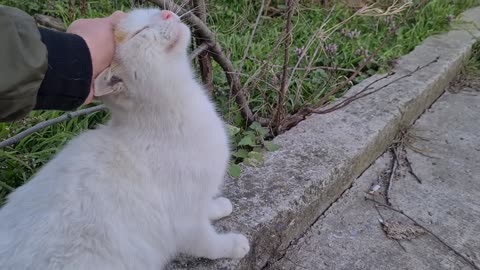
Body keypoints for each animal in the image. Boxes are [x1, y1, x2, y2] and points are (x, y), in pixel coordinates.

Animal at [0, 8, 251, 270]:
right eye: (141, 31)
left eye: (151, 12)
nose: (166, 12)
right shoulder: (185, 223)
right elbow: (207, 244)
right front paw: (233, 245)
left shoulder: (196, 203)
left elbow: (205, 206)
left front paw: (217, 206)